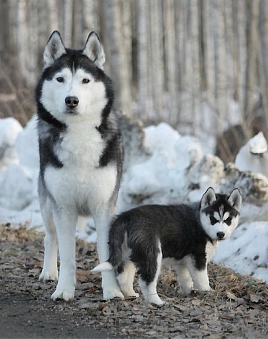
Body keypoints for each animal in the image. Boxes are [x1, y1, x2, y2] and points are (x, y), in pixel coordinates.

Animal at [35, 31, 123, 300]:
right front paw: (64, 290)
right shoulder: (63, 207)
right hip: (47, 205)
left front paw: (112, 291)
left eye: (85, 80)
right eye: (60, 79)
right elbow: (67, 256)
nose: (71, 100)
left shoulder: (104, 207)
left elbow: (107, 255)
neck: (79, 135)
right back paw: (49, 272)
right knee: (50, 237)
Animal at [91, 187, 241, 306]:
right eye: (213, 219)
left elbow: (186, 278)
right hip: (152, 253)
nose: (220, 234)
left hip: (127, 254)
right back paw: (157, 302)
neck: (200, 221)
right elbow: (202, 279)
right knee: (146, 282)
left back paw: (131, 294)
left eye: (228, 220)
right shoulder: (198, 258)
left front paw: (188, 292)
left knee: (123, 277)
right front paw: (208, 291)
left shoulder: (184, 262)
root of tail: (125, 217)